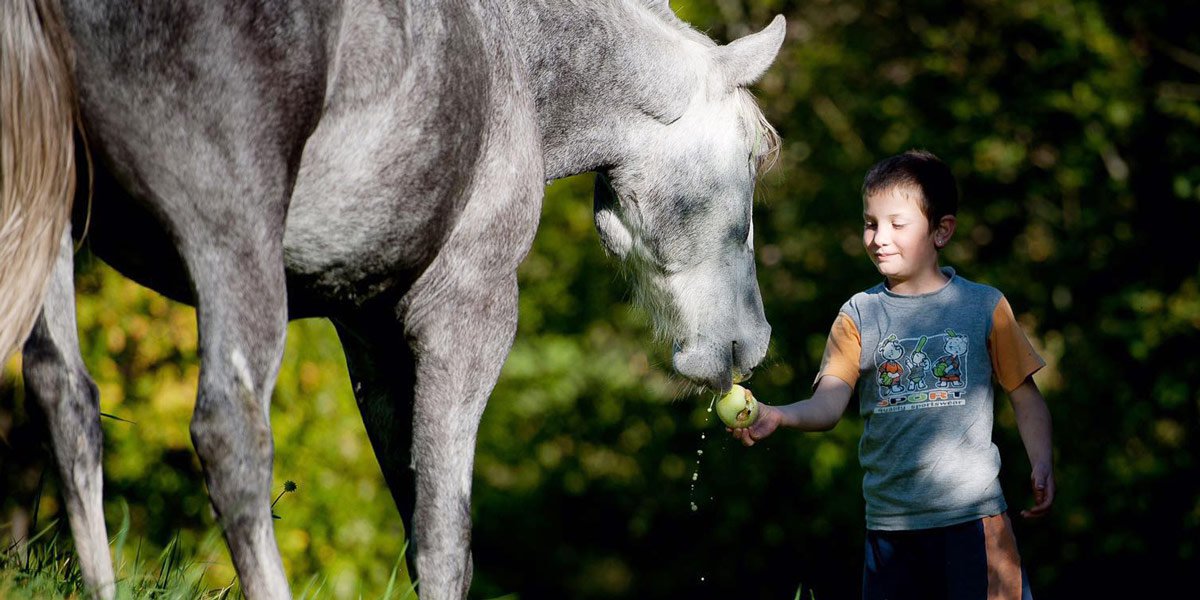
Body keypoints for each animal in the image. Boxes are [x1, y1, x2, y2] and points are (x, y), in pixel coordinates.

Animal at [0, 1, 782, 600]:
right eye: (751, 162)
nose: (751, 341)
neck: (517, 56)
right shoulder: (468, 315)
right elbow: (444, 536)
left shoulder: (372, 341)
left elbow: (413, 513)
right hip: (232, 248)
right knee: (230, 436)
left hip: (54, 232)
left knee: (66, 399)